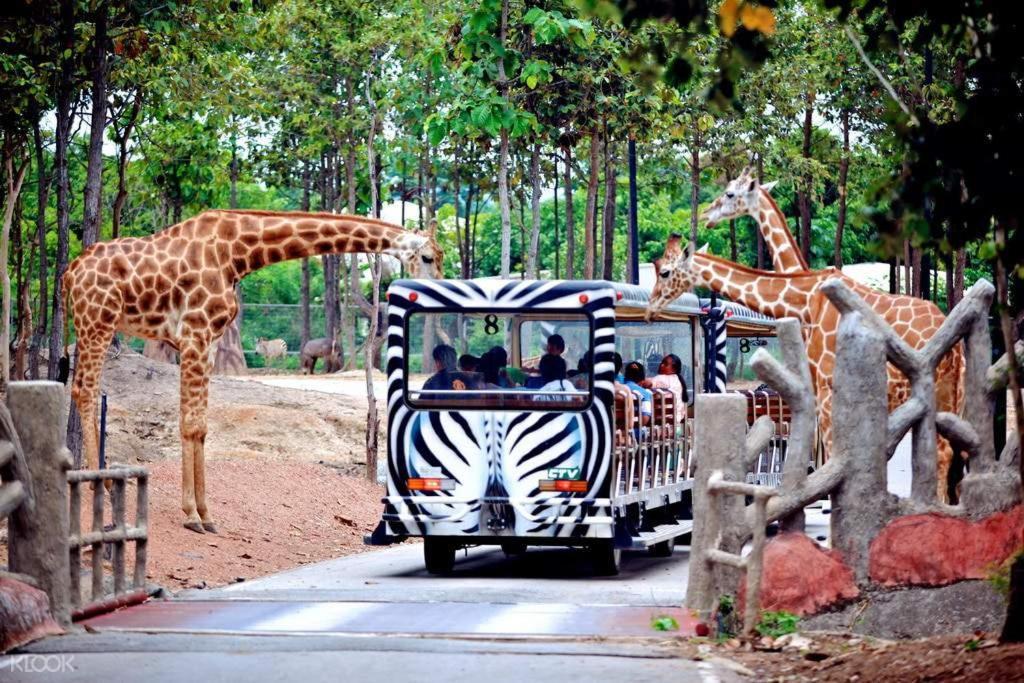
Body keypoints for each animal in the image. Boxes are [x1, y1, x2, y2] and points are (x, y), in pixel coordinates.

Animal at [61, 210, 442, 532]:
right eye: (428, 257)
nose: (438, 290)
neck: (236, 253)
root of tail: (69, 273)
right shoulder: (195, 333)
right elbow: (190, 423)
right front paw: (191, 515)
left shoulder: (209, 341)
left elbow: (201, 427)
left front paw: (205, 514)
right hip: (98, 321)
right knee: (85, 389)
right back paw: (99, 481)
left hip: (93, 325)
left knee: (86, 388)